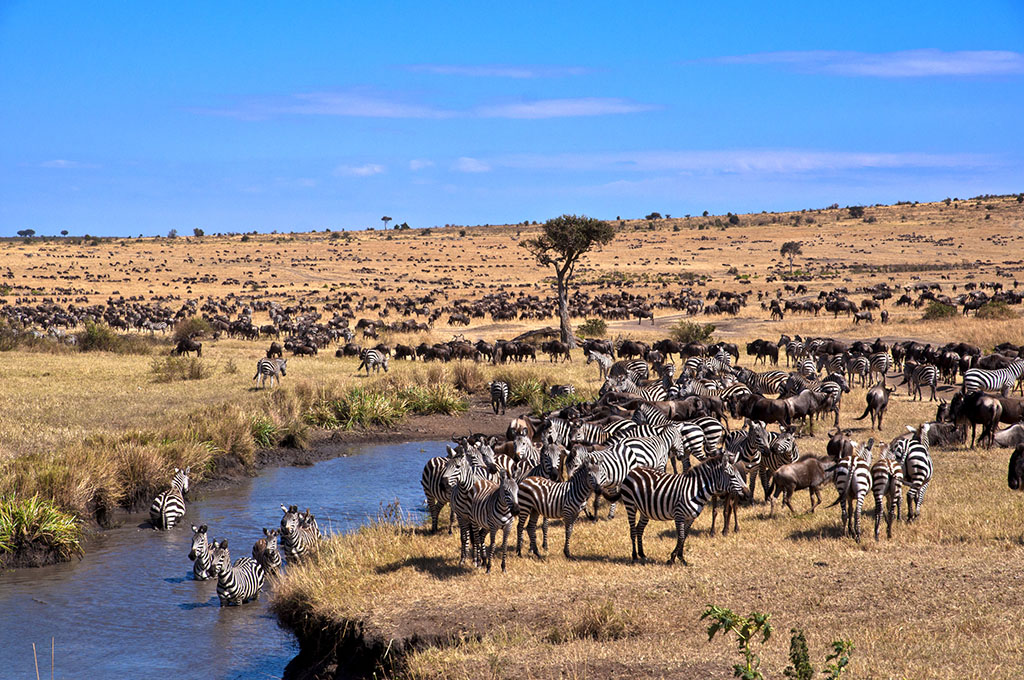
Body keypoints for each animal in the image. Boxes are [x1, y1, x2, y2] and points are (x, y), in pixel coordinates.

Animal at [614, 456, 753, 569]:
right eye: (732, 476)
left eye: (739, 475)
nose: (748, 494)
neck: (695, 490)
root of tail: (634, 470)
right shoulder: (679, 515)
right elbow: (680, 537)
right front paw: (672, 559)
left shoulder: (690, 517)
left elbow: (685, 537)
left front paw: (681, 559)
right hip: (630, 505)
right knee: (633, 530)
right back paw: (634, 556)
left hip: (645, 510)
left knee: (639, 529)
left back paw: (642, 554)